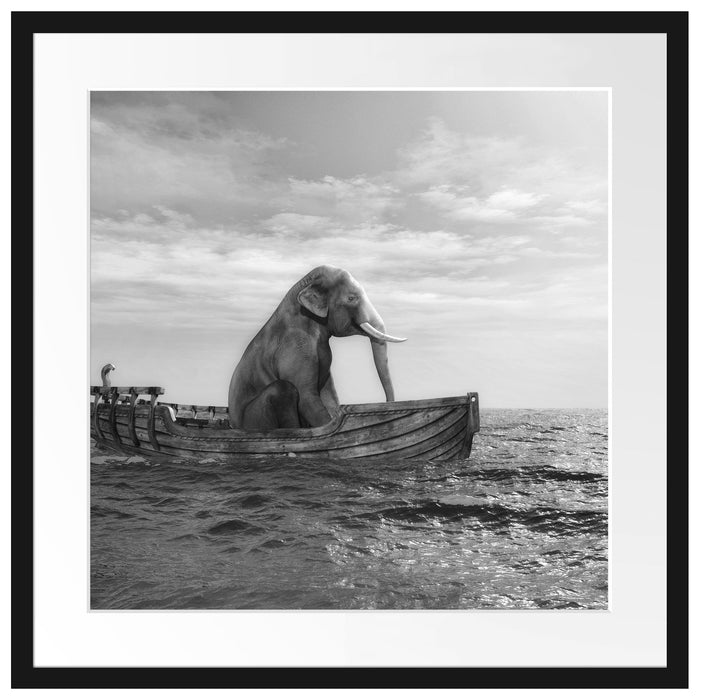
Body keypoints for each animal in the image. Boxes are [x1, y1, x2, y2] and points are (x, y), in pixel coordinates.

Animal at [228, 265, 406, 430]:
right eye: (351, 298)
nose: (388, 405)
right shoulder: (295, 347)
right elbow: (307, 398)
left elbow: (329, 395)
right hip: (254, 418)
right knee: (283, 388)